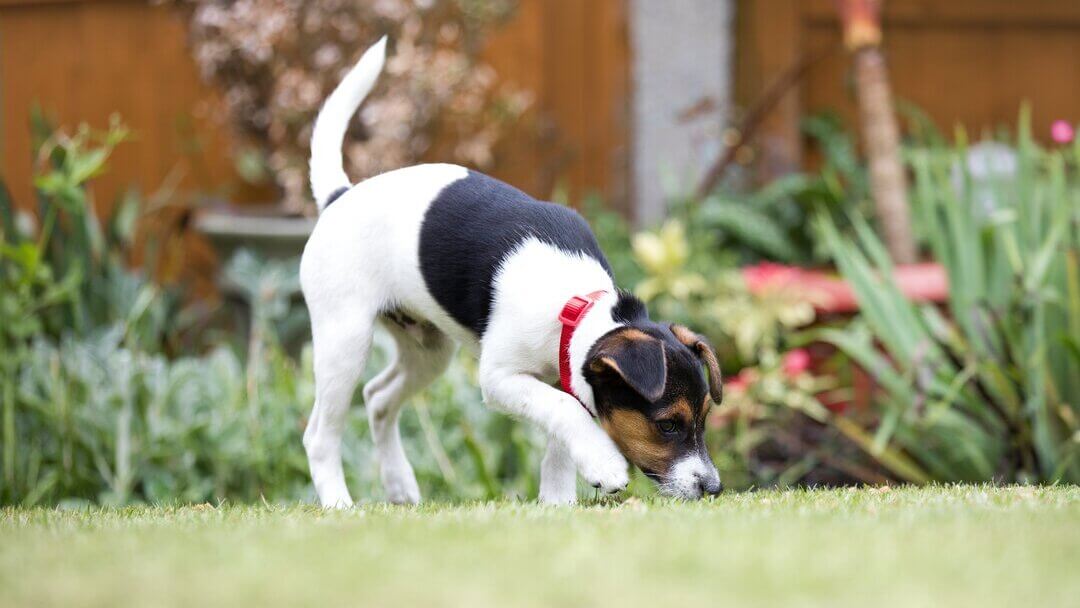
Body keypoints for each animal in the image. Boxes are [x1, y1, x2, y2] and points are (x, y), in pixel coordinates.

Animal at [304, 35, 721, 507]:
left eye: (704, 417)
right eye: (667, 424)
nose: (714, 488)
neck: (572, 304)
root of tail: (340, 196)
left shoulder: (564, 375)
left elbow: (561, 435)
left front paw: (557, 500)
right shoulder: (500, 378)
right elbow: (564, 411)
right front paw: (604, 465)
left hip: (428, 349)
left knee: (377, 397)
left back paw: (400, 485)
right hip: (345, 339)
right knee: (320, 434)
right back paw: (339, 503)